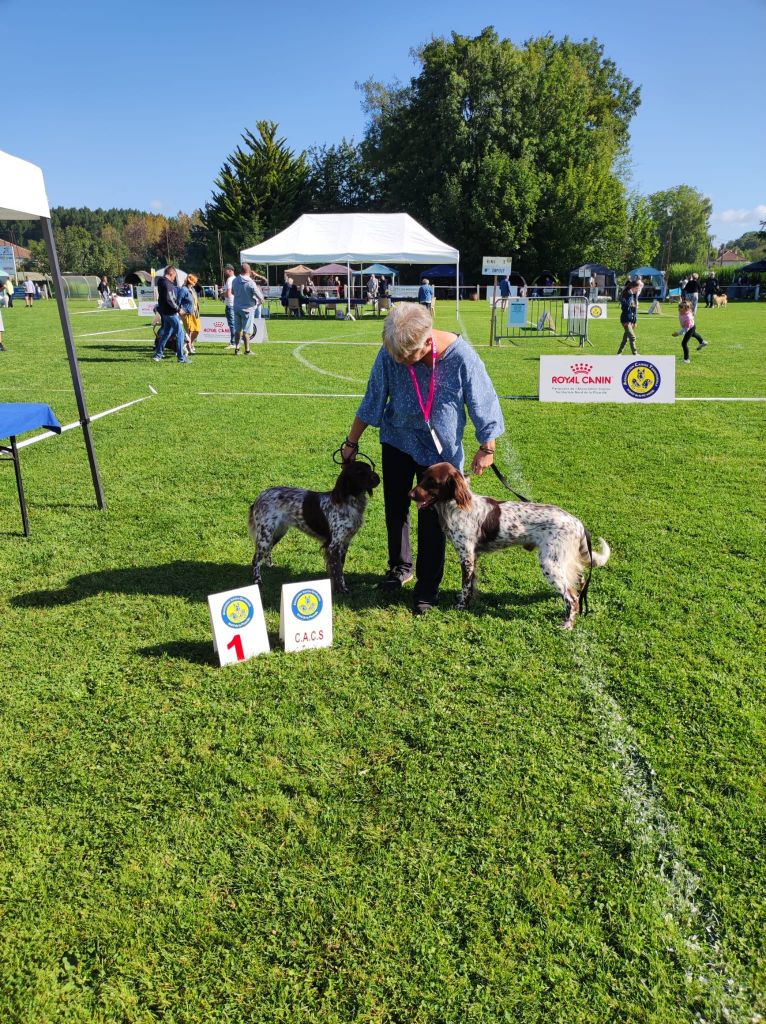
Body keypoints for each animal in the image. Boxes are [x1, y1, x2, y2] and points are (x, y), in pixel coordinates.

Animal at [248, 462, 380, 598]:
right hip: (265, 534)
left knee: (268, 551)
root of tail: (259, 497)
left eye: (369, 468)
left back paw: (271, 566)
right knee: (256, 559)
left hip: (277, 532)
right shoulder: (333, 545)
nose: (378, 478)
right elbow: (338, 571)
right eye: (359, 471)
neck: (348, 501)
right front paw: (342, 590)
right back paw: (257, 581)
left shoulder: (344, 542)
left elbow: (339, 568)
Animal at [409, 462, 614, 622]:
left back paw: (566, 625)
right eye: (423, 477)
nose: (410, 494)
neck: (456, 506)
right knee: (579, 582)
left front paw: (461, 607)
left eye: (432, 482)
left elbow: (466, 587)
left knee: (571, 597)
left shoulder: (466, 556)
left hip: (550, 563)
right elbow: (471, 586)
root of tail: (578, 522)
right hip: (563, 561)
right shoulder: (474, 556)